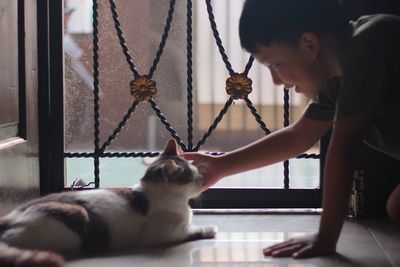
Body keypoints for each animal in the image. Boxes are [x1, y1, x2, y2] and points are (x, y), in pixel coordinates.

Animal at [0, 140, 216, 267]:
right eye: (192, 177)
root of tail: (10, 217)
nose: (202, 180)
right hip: (76, 218)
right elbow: (189, 230)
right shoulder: (160, 233)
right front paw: (207, 229)